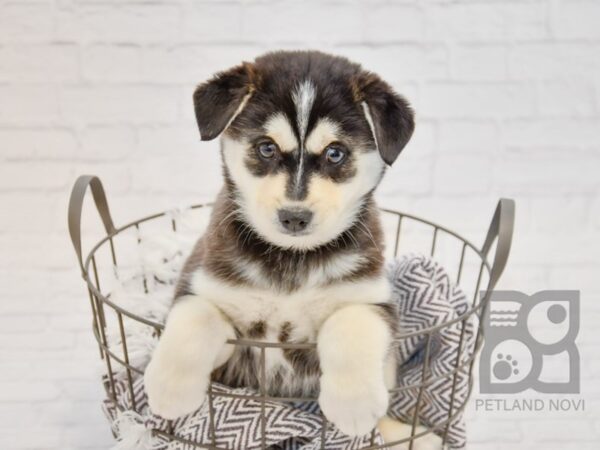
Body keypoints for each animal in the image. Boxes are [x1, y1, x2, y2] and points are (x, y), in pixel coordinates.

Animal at [142, 51, 438, 448]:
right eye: (266, 147)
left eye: (335, 153)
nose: (294, 217)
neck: (292, 259)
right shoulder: (204, 287)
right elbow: (196, 317)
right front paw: (169, 389)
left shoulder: (372, 299)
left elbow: (350, 324)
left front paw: (354, 403)